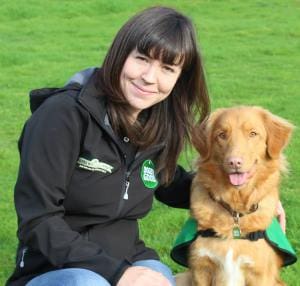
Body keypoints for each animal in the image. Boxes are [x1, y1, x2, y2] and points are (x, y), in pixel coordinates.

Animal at [180, 106, 292, 286]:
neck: (235, 212)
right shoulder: (200, 268)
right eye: (221, 135)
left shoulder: (259, 273)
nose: (234, 162)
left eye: (253, 133)